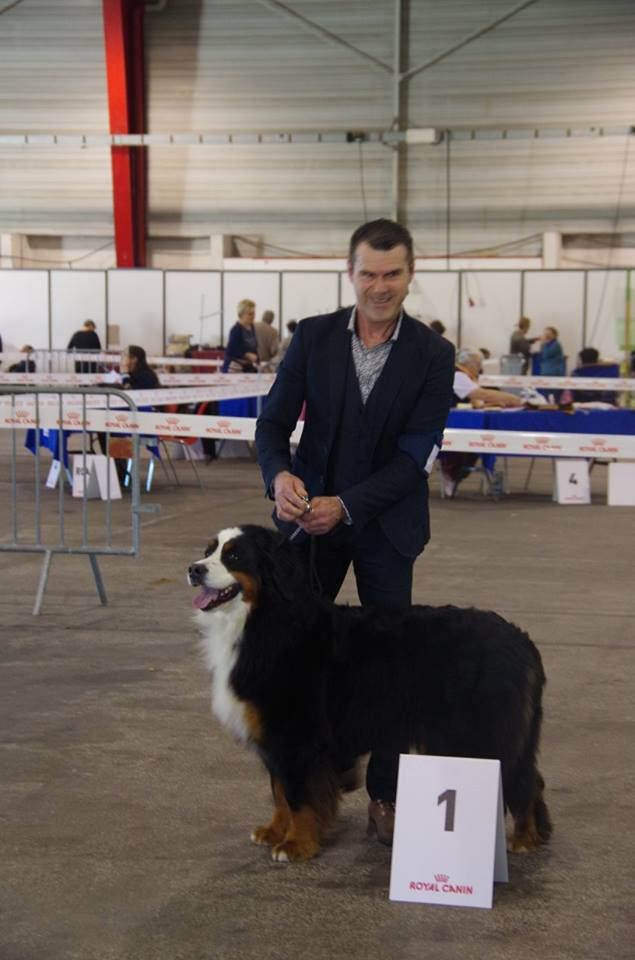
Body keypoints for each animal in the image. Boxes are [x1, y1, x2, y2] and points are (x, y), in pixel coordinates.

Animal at [188, 524, 552, 864]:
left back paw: (523, 839)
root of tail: (521, 641)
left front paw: (295, 845)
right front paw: (274, 830)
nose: (194, 569)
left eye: (234, 556)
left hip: (483, 735)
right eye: (209, 551)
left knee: (521, 780)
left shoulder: (295, 735)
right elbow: (279, 790)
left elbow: (297, 795)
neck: (263, 619)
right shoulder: (275, 737)